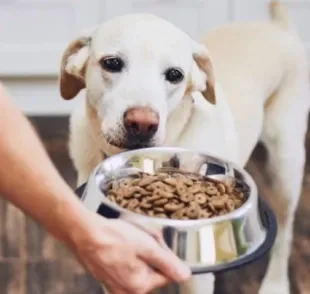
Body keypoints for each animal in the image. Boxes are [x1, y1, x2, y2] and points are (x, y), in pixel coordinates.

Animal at [60, 1, 310, 292]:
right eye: (111, 63)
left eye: (174, 75)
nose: (142, 123)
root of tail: (278, 27)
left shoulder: (197, 279)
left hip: (286, 167)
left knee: (285, 232)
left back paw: (275, 283)